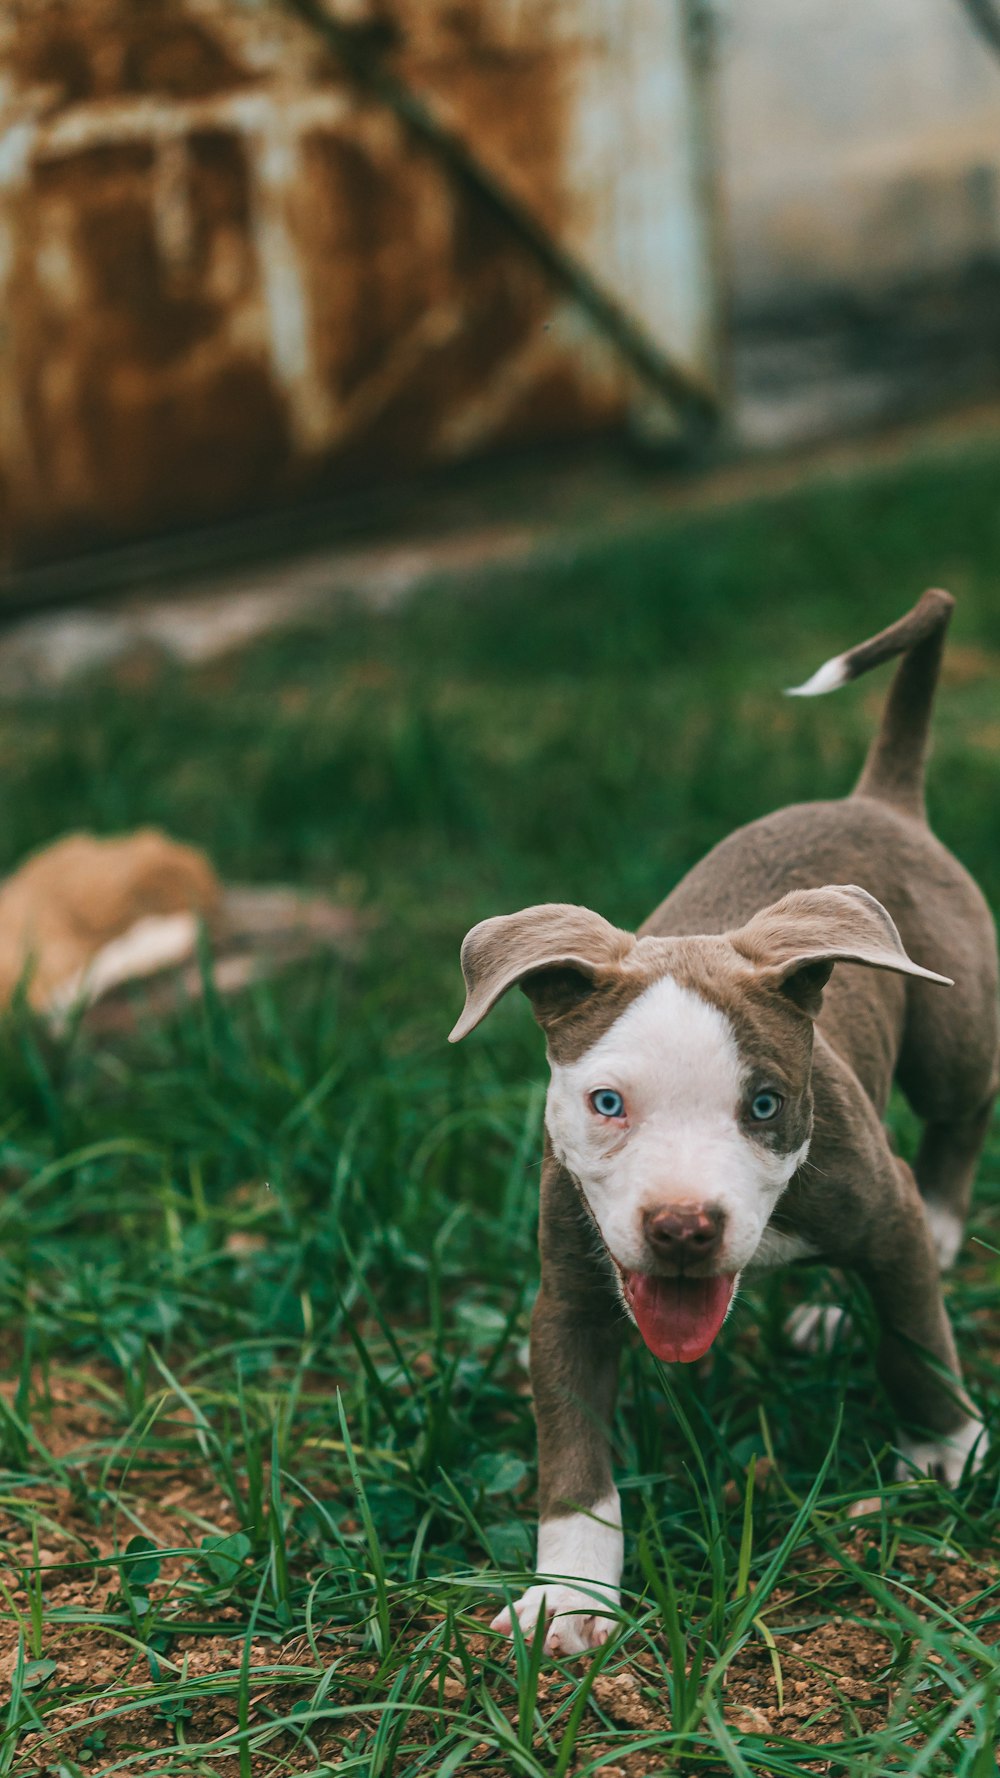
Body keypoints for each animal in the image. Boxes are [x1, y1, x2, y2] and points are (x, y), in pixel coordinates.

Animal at [451, 593, 996, 1649]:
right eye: (607, 1104)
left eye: (766, 1104)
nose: (682, 1228)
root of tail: (878, 798)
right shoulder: (568, 1298)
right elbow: (573, 1456)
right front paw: (570, 1598)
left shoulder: (883, 1212)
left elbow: (916, 1337)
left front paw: (946, 1449)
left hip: (954, 1032)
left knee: (955, 1130)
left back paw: (946, 1237)